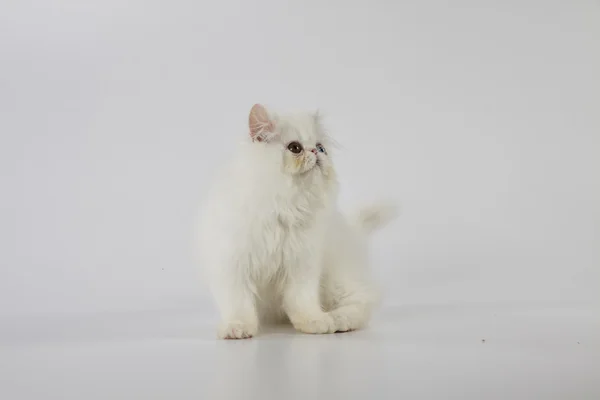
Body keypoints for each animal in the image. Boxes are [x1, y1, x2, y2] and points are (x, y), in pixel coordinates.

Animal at [197, 104, 398, 340]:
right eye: (295, 148)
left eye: (321, 148)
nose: (315, 152)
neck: (285, 205)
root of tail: (353, 233)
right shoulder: (233, 266)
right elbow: (239, 305)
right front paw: (237, 327)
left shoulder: (302, 266)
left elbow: (302, 301)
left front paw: (314, 322)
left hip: (339, 281)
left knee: (362, 302)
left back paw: (339, 320)